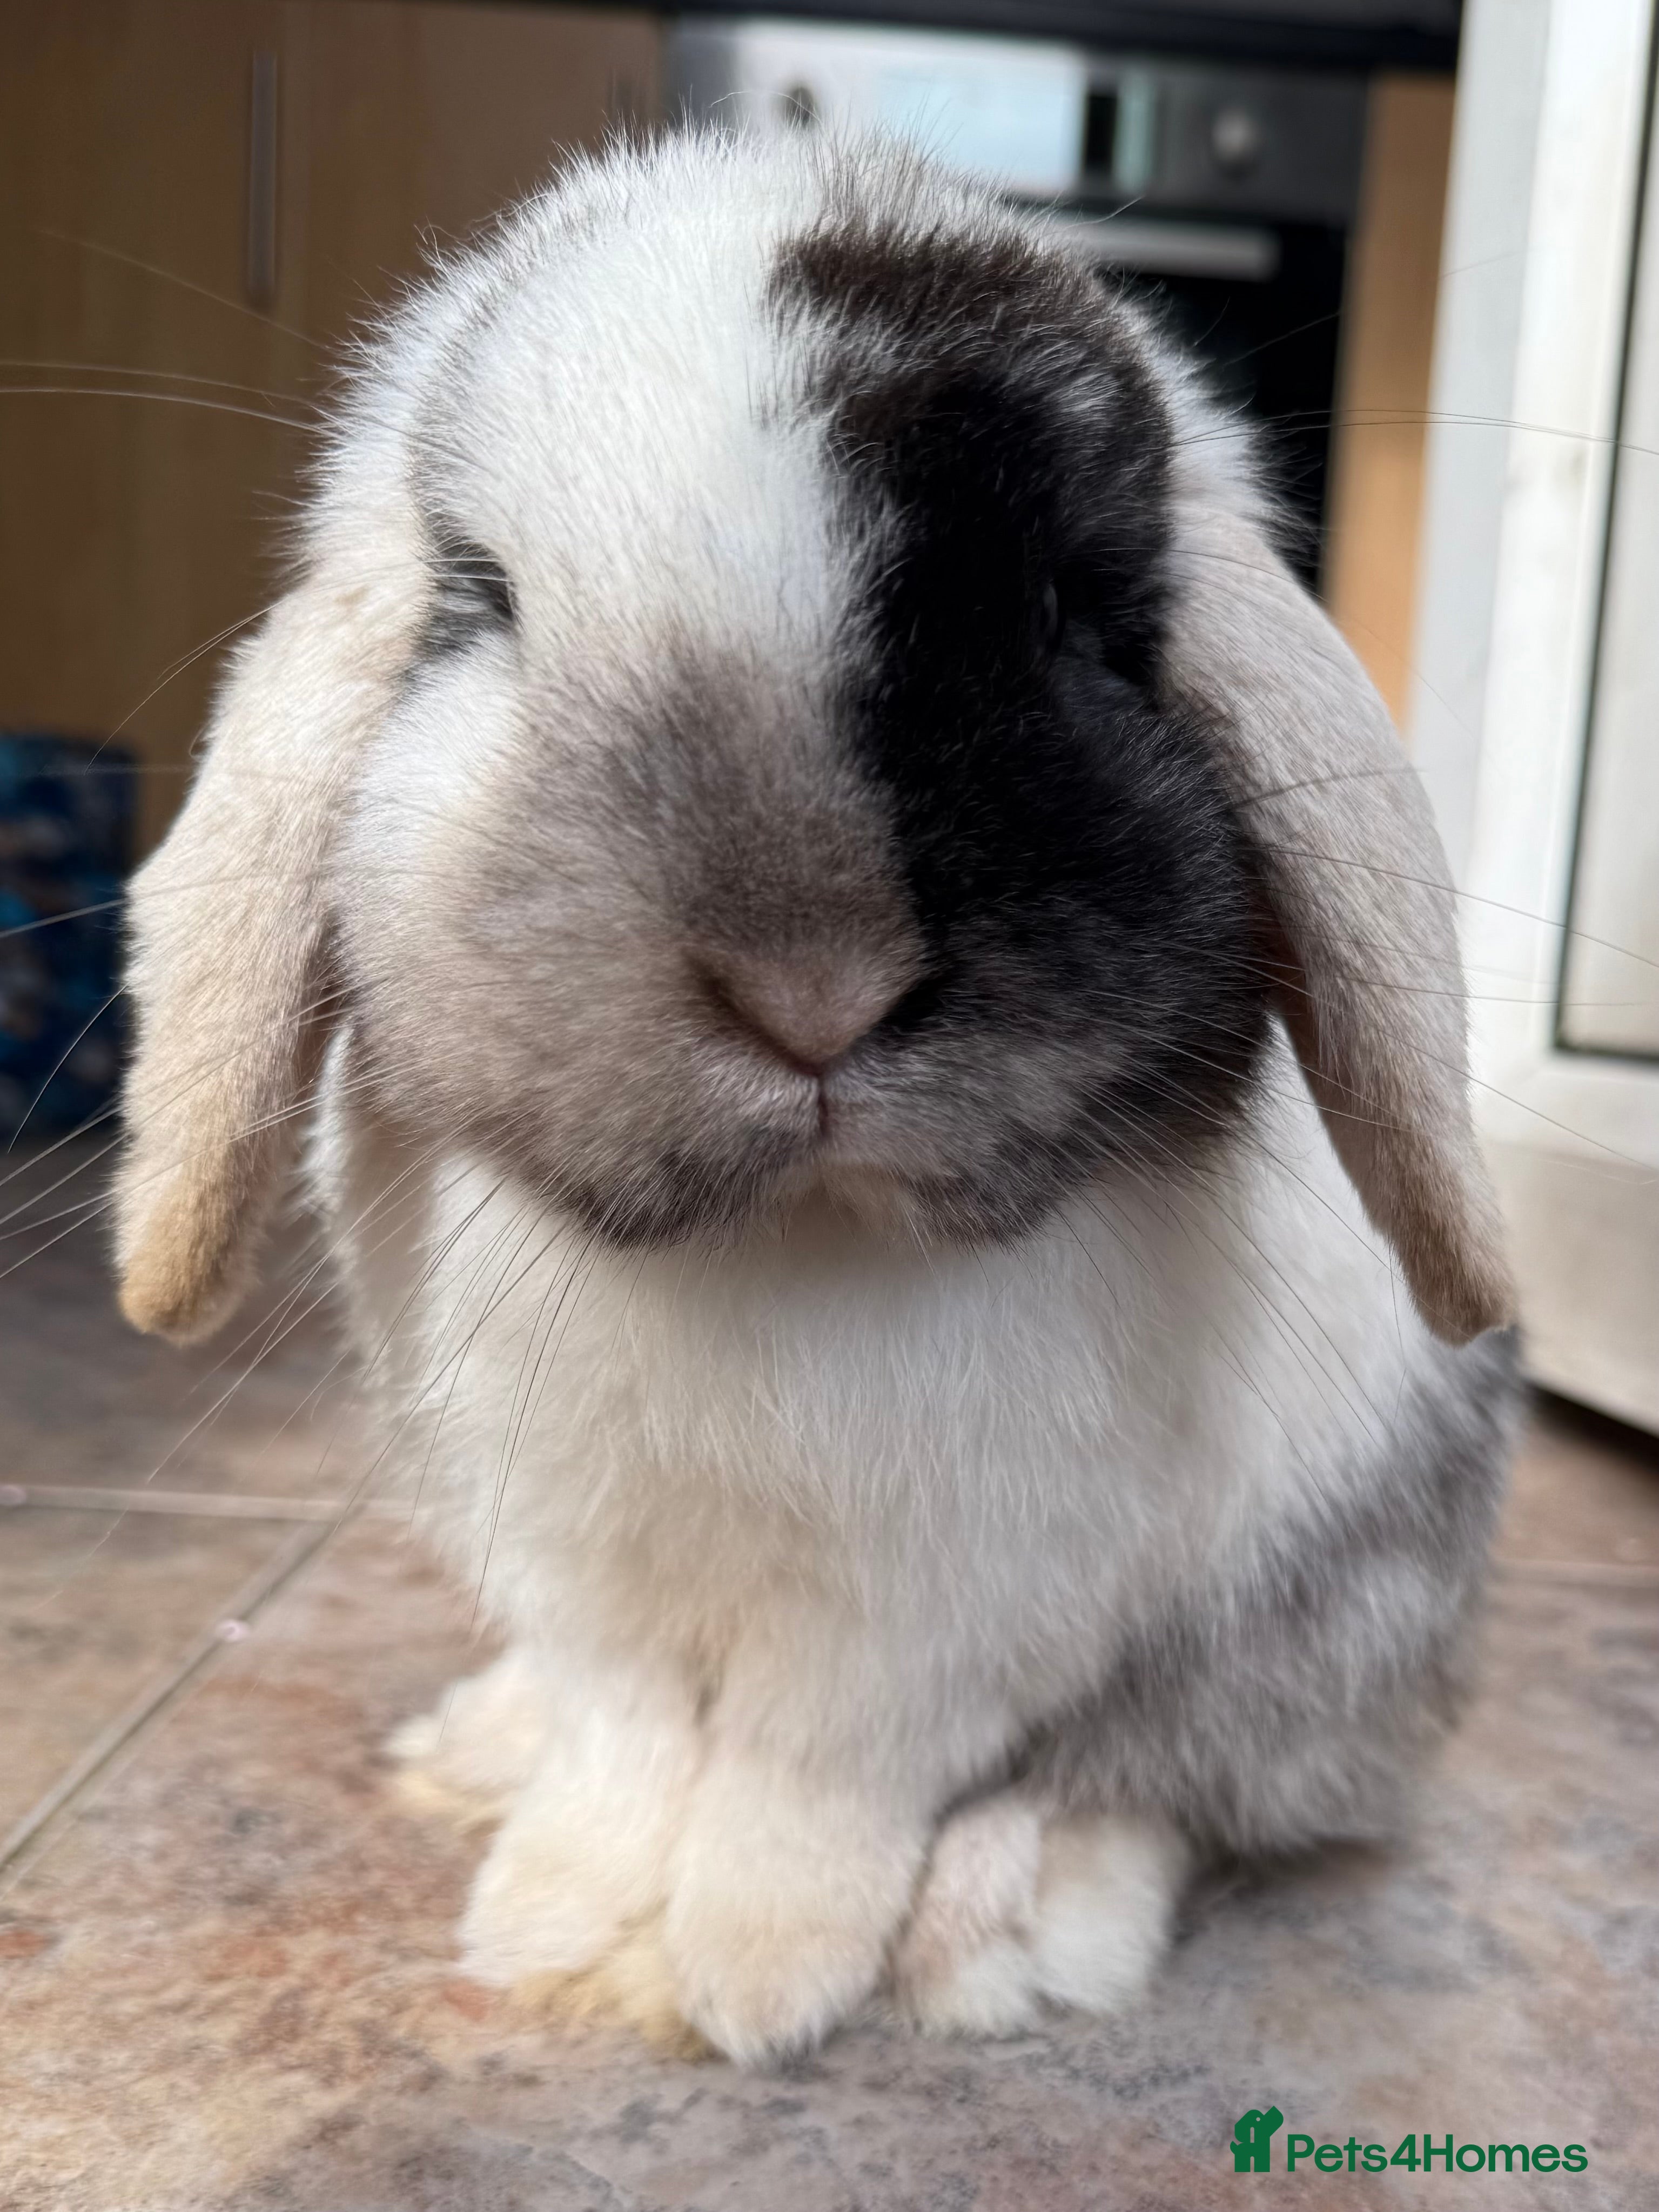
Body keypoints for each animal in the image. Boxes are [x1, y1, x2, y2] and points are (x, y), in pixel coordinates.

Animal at [112, 128, 1520, 2067]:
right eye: (482, 597)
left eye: (1083, 608)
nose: (813, 980)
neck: (788, 1242)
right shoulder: (571, 1558)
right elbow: (624, 1740)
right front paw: (553, 1924)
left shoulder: (940, 1616)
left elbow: (814, 1778)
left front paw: (748, 1981)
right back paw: (475, 1753)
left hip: (1319, 1613)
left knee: (1178, 1776)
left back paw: (1006, 1929)